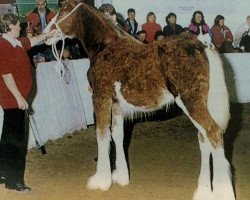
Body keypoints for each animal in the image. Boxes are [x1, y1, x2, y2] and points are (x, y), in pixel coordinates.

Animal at [44, 0, 236, 199]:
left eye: (61, 12)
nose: (45, 34)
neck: (105, 47)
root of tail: (203, 45)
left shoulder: (101, 98)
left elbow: (102, 136)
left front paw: (101, 181)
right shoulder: (116, 105)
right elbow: (117, 135)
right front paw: (120, 177)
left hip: (191, 102)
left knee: (213, 133)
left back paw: (222, 192)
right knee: (204, 139)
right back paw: (204, 190)